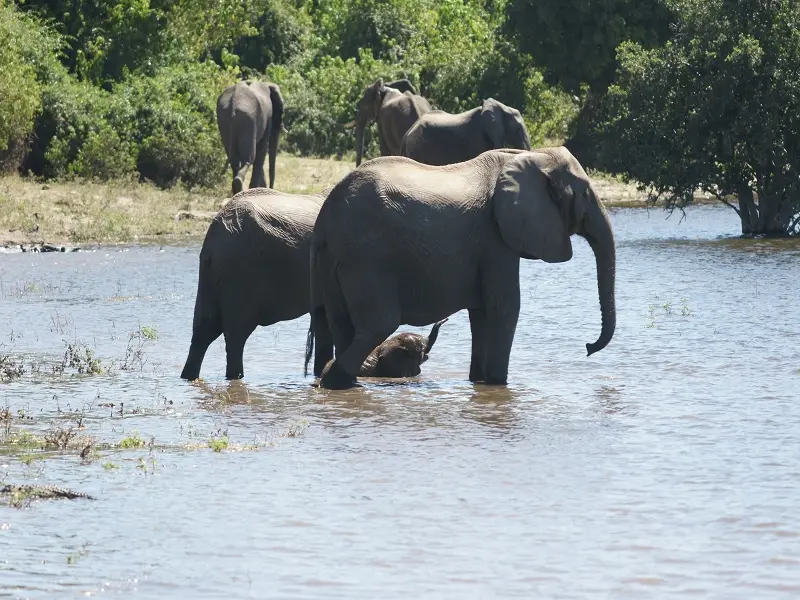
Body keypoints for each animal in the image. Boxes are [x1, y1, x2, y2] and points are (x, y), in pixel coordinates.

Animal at [181, 187, 332, 381]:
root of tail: (212, 240)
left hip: (211, 275)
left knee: (203, 331)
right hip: (241, 274)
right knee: (235, 338)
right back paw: (235, 376)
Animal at [303, 147, 616, 390]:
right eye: (585, 194)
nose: (588, 348)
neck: (530, 156)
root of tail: (324, 217)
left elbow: (481, 313)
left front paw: (480, 382)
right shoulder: (495, 237)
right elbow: (505, 306)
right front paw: (498, 383)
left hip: (336, 260)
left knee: (341, 321)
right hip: (367, 257)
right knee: (380, 323)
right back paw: (336, 382)